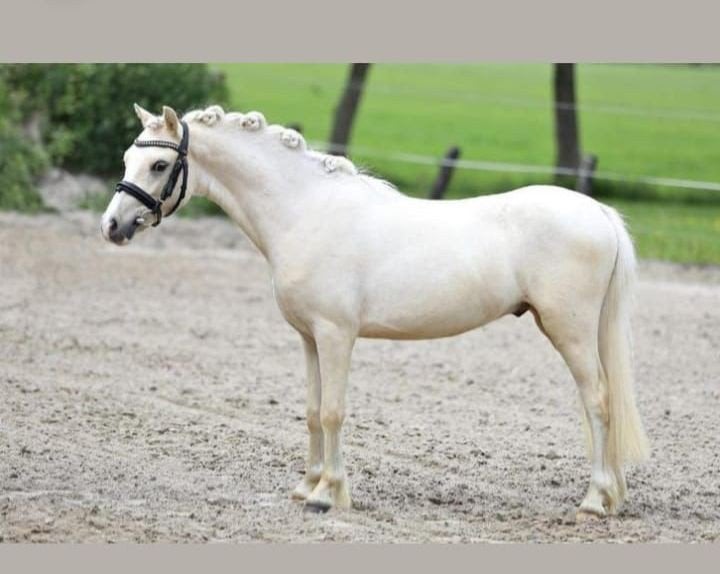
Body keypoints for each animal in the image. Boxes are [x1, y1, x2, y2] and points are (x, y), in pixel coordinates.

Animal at [100, 104, 649, 518]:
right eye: (128, 157)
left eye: (158, 166)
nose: (112, 226)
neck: (305, 212)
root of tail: (597, 212)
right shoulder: (309, 338)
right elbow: (311, 413)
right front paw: (307, 487)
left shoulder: (336, 334)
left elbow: (333, 412)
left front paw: (328, 495)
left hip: (569, 331)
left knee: (598, 402)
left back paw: (594, 501)